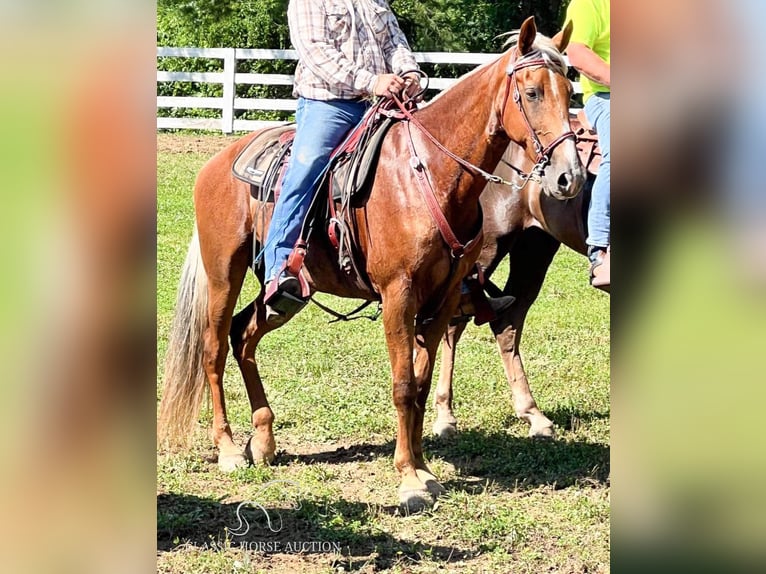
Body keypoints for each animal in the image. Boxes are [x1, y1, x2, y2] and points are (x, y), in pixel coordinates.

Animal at [436, 134, 596, 440]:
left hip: (534, 246)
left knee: (506, 323)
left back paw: (533, 415)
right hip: (488, 250)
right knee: (454, 323)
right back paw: (444, 416)